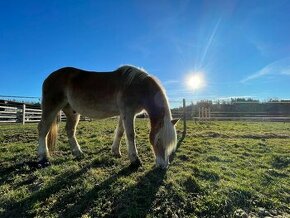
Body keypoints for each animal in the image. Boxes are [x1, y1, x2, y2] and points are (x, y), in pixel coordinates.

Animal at [37, 65, 178, 168]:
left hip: (72, 112)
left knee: (70, 130)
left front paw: (115, 151)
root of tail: (49, 77)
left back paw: (78, 153)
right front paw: (135, 160)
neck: (137, 85)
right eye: (158, 139)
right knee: (43, 129)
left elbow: (120, 132)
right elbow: (130, 135)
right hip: (51, 107)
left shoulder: (123, 114)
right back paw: (43, 157)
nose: (163, 165)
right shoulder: (128, 113)